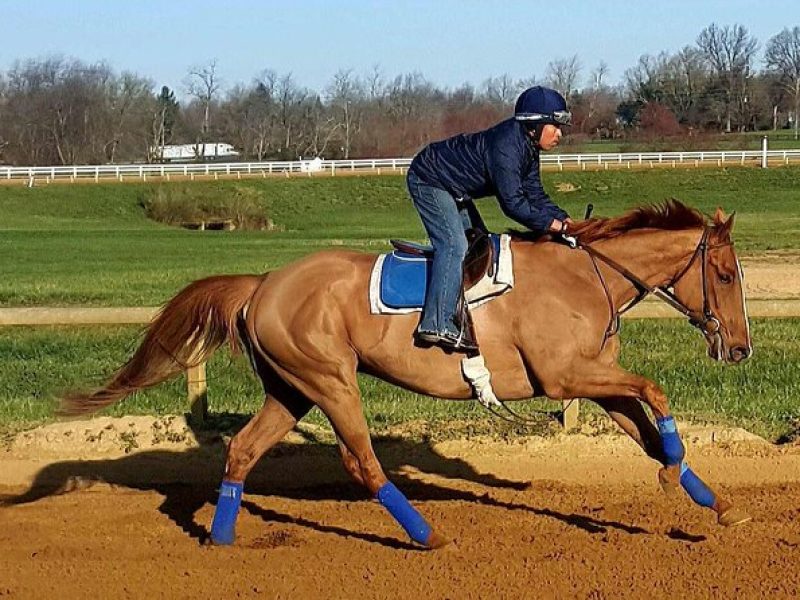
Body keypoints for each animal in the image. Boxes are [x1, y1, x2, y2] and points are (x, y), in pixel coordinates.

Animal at [61, 199, 752, 548]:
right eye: (723, 274)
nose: (741, 350)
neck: (588, 275)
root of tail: (263, 284)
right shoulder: (567, 377)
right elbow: (655, 393)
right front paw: (674, 471)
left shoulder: (595, 377)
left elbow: (647, 428)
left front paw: (716, 505)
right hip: (330, 380)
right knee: (361, 461)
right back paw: (426, 534)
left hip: (291, 389)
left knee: (242, 451)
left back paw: (223, 540)